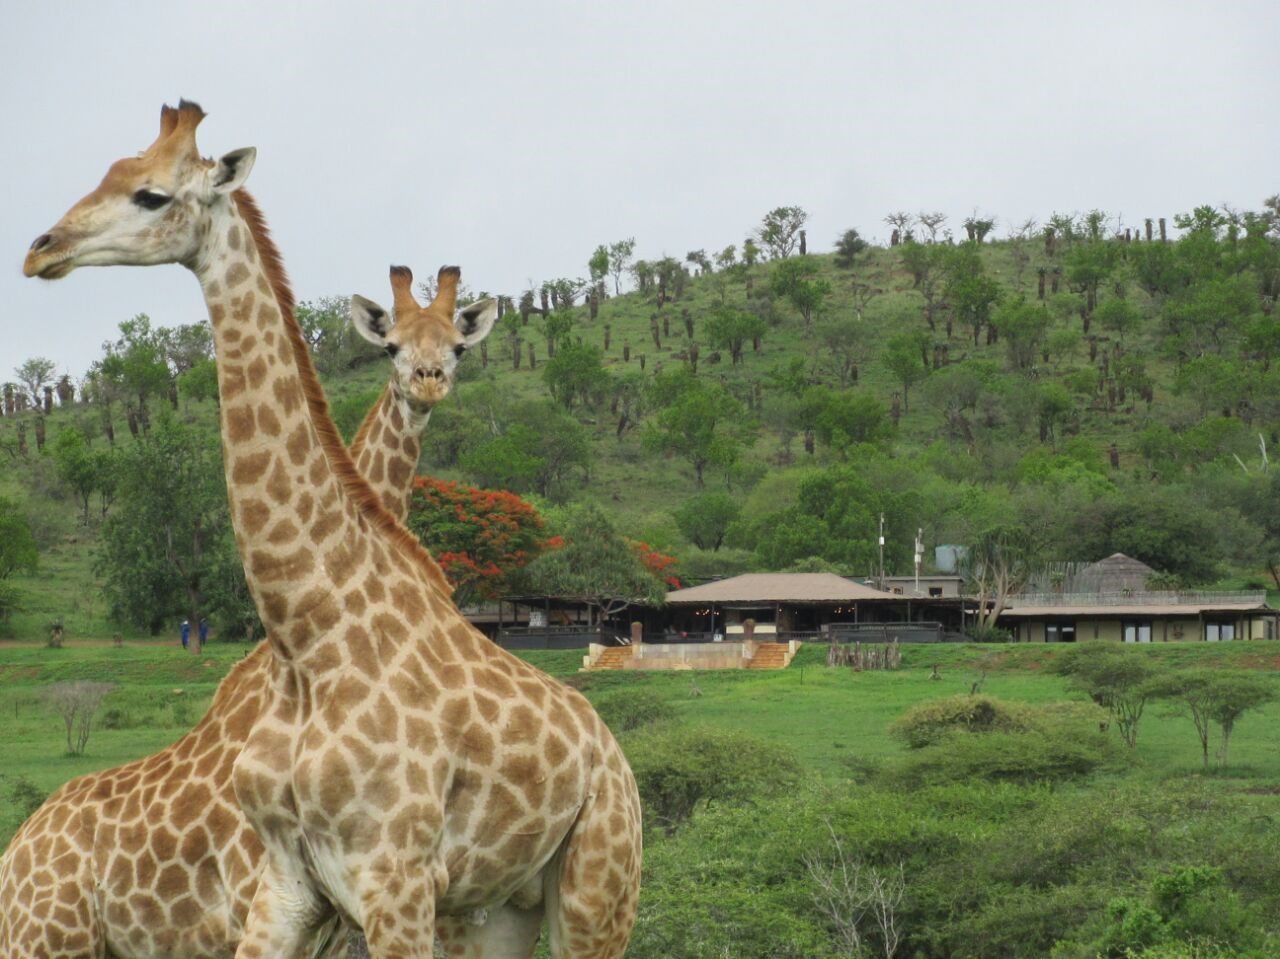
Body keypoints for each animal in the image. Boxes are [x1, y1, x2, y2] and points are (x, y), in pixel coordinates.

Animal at [0, 265, 494, 957]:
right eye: (391, 345)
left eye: (457, 346)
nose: (427, 383)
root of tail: (13, 855)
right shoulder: (255, 901)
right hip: (46, 937)